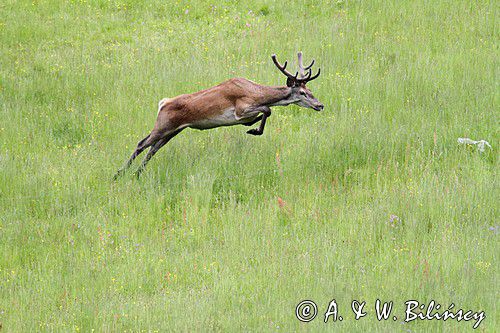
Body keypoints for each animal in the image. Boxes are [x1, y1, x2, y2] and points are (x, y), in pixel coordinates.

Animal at [114, 52, 324, 178]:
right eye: (302, 92)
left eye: (311, 90)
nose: (320, 105)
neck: (257, 93)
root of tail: (163, 103)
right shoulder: (240, 109)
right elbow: (267, 110)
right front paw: (254, 130)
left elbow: (262, 114)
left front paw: (252, 128)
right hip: (162, 125)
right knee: (141, 144)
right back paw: (119, 174)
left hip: (172, 131)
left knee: (153, 149)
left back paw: (136, 174)